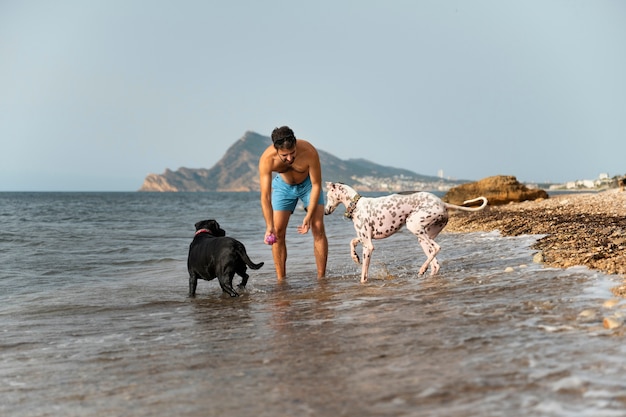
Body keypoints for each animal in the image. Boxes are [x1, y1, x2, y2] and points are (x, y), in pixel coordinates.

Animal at [324, 182, 486, 282]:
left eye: (327, 196)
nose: (325, 212)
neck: (356, 204)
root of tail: (442, 203)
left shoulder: (369, 246)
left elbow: (364, 272)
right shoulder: (365, 239)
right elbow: (352, 241)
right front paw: (355, 257)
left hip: (413, 226)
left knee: (437, 248)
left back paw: (422, 269)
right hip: (423, 236)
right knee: (436, 264)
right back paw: (426, 272)